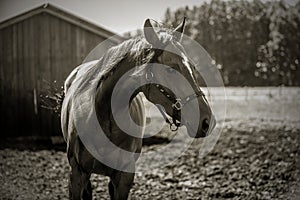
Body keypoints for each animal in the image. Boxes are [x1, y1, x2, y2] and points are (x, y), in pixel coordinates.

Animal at [61, 18, 216, 199]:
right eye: (170, 69)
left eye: (192, 67)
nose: (207, 121)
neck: (102, 116)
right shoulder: (77, 174)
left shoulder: (124, 177)